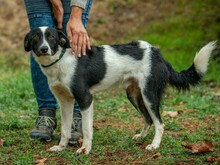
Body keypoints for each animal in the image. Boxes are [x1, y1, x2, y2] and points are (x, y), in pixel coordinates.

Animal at [24, 26, 217, 154]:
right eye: (35, 38)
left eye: (51, 37)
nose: (44, 49)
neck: (60, 61)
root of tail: (157, 53)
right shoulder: (65, 102)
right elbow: (64, 129)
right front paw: (61, 147)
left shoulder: (85, 99)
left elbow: (86, 129)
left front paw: (85, 149)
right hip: (134, 94)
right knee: (148, 119)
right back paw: (141, 137)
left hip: (149, 94)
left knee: (159, 123)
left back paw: (154, 145)